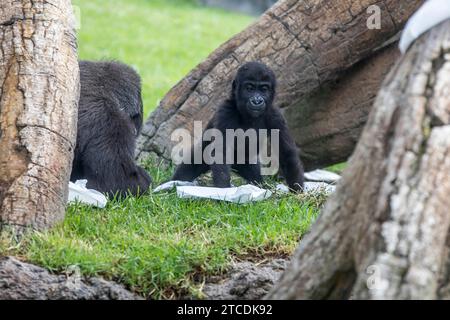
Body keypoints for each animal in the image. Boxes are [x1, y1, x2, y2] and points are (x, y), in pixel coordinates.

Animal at [174, 61, 304, 191]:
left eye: (264, 89)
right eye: (249, 88)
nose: (257, 100)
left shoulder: (275, 116)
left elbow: (287, 153)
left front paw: (297, 190)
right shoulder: (226, 112)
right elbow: (221, 152)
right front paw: (224, 190)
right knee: (187, 171)